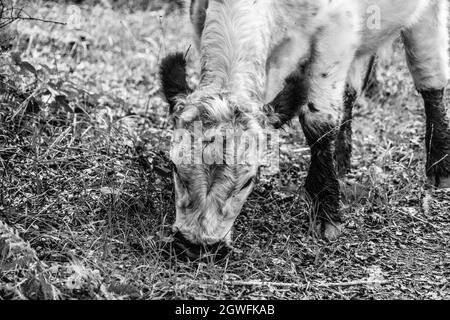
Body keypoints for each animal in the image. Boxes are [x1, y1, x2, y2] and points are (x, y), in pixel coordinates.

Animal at [159, 0, 450, 260]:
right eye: (175, 168)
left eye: (248, 181)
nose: (196, 247)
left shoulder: (336, 33)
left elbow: (317, 120)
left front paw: (326, 212)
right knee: (350, 92)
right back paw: (341, 161)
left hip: (428, 17)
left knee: (430, 80)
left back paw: (439, 167)